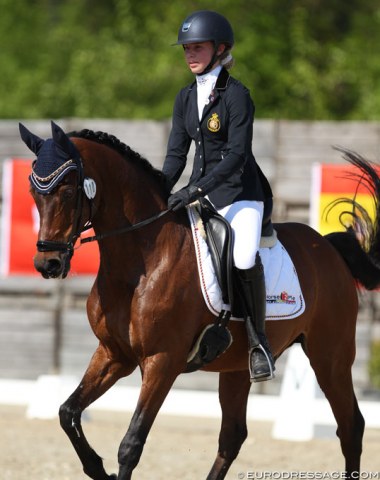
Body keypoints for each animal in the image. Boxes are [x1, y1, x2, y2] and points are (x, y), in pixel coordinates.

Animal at [19, 121, 380, 480]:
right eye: (34, 193)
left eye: (68, 191)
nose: (48, 264)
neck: (140, 260)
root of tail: (329, 247)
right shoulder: (114, 354)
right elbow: (67, 412)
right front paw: (97, 469)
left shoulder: (162, 361)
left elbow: (131, 444)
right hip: (238, 366)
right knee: (233, 436)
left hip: (330, 356)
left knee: (351, 427)